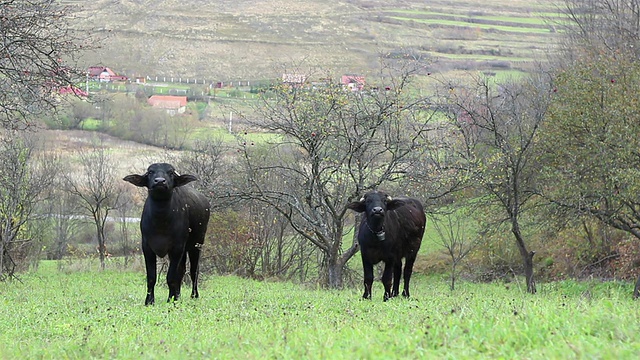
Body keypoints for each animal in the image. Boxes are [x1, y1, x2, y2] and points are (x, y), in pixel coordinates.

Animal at [121, 165, 209, 306]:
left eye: (171, 172)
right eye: (150, 172)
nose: (160, 181)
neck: (160, 221)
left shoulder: (176, 248)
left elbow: (171, 276)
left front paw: (170, 299)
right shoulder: (147, 248)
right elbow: (152, 277)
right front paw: (149, 301)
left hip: (197, 244)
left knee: (194, 270)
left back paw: (194, 295)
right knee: (182, 270)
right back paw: (178, 295)